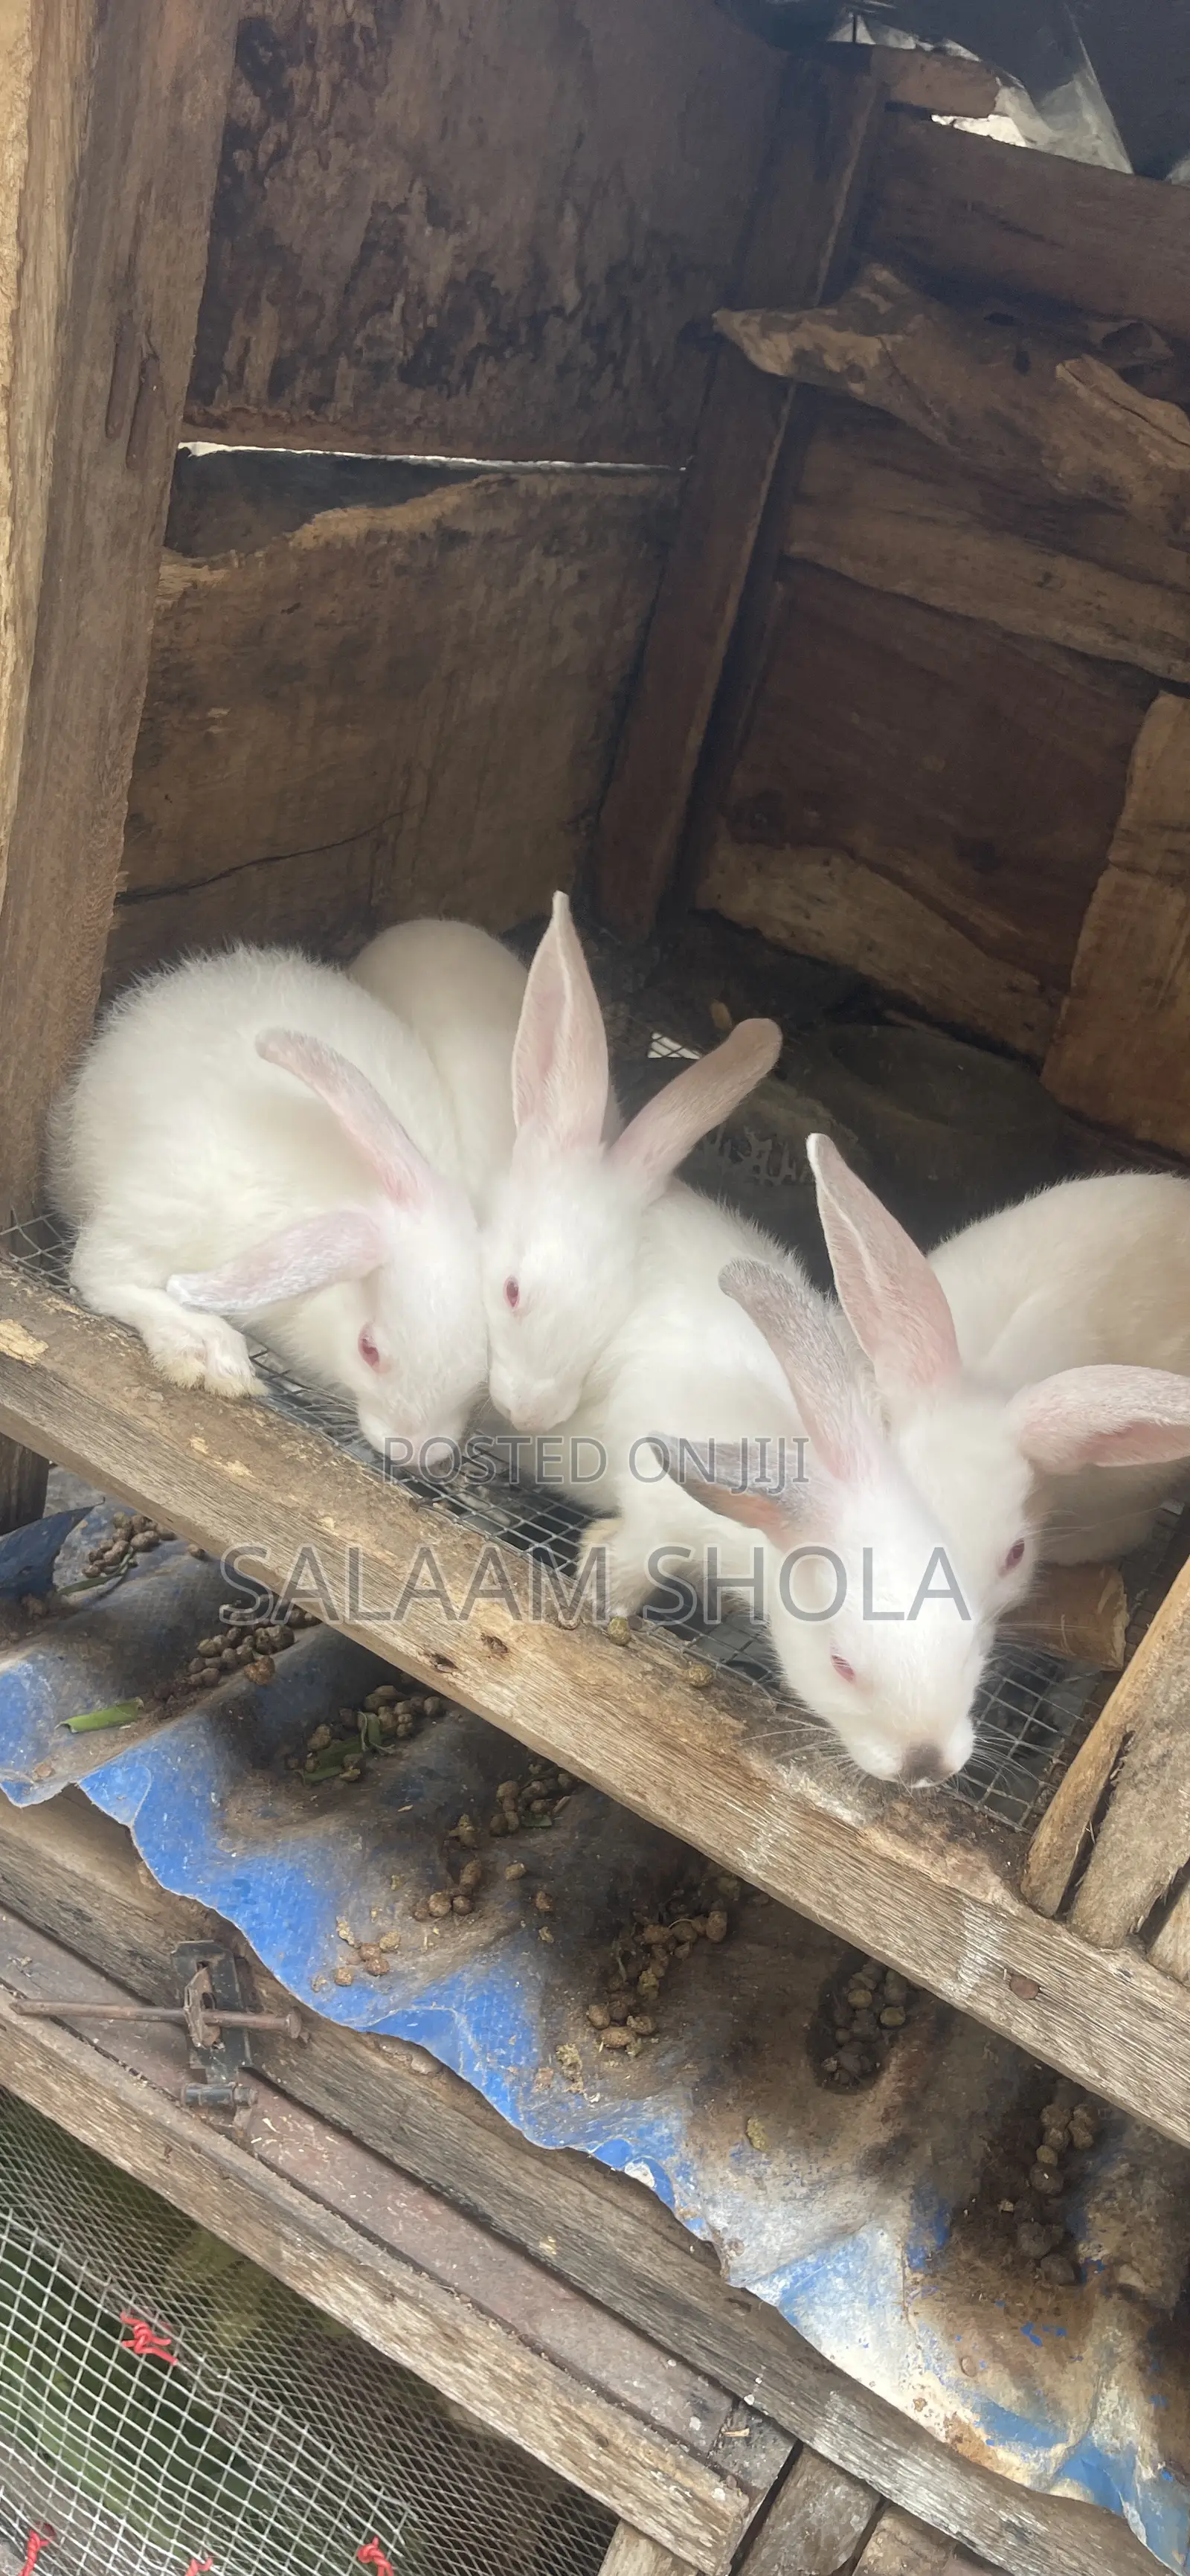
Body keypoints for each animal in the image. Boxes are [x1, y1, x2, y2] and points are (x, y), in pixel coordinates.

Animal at [48, 945, 490, 1459]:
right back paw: (207, 1347)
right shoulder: (166, 1202)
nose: (418, 1451)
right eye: (369, 1348)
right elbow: (104, 1276)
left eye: (484, 1364)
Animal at [551, 1182, 988, 1787]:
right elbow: (637, 1560)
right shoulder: (658, 1514)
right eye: (841, 1665)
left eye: (971, 1645)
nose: (926, 1767)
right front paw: (600, 1587)